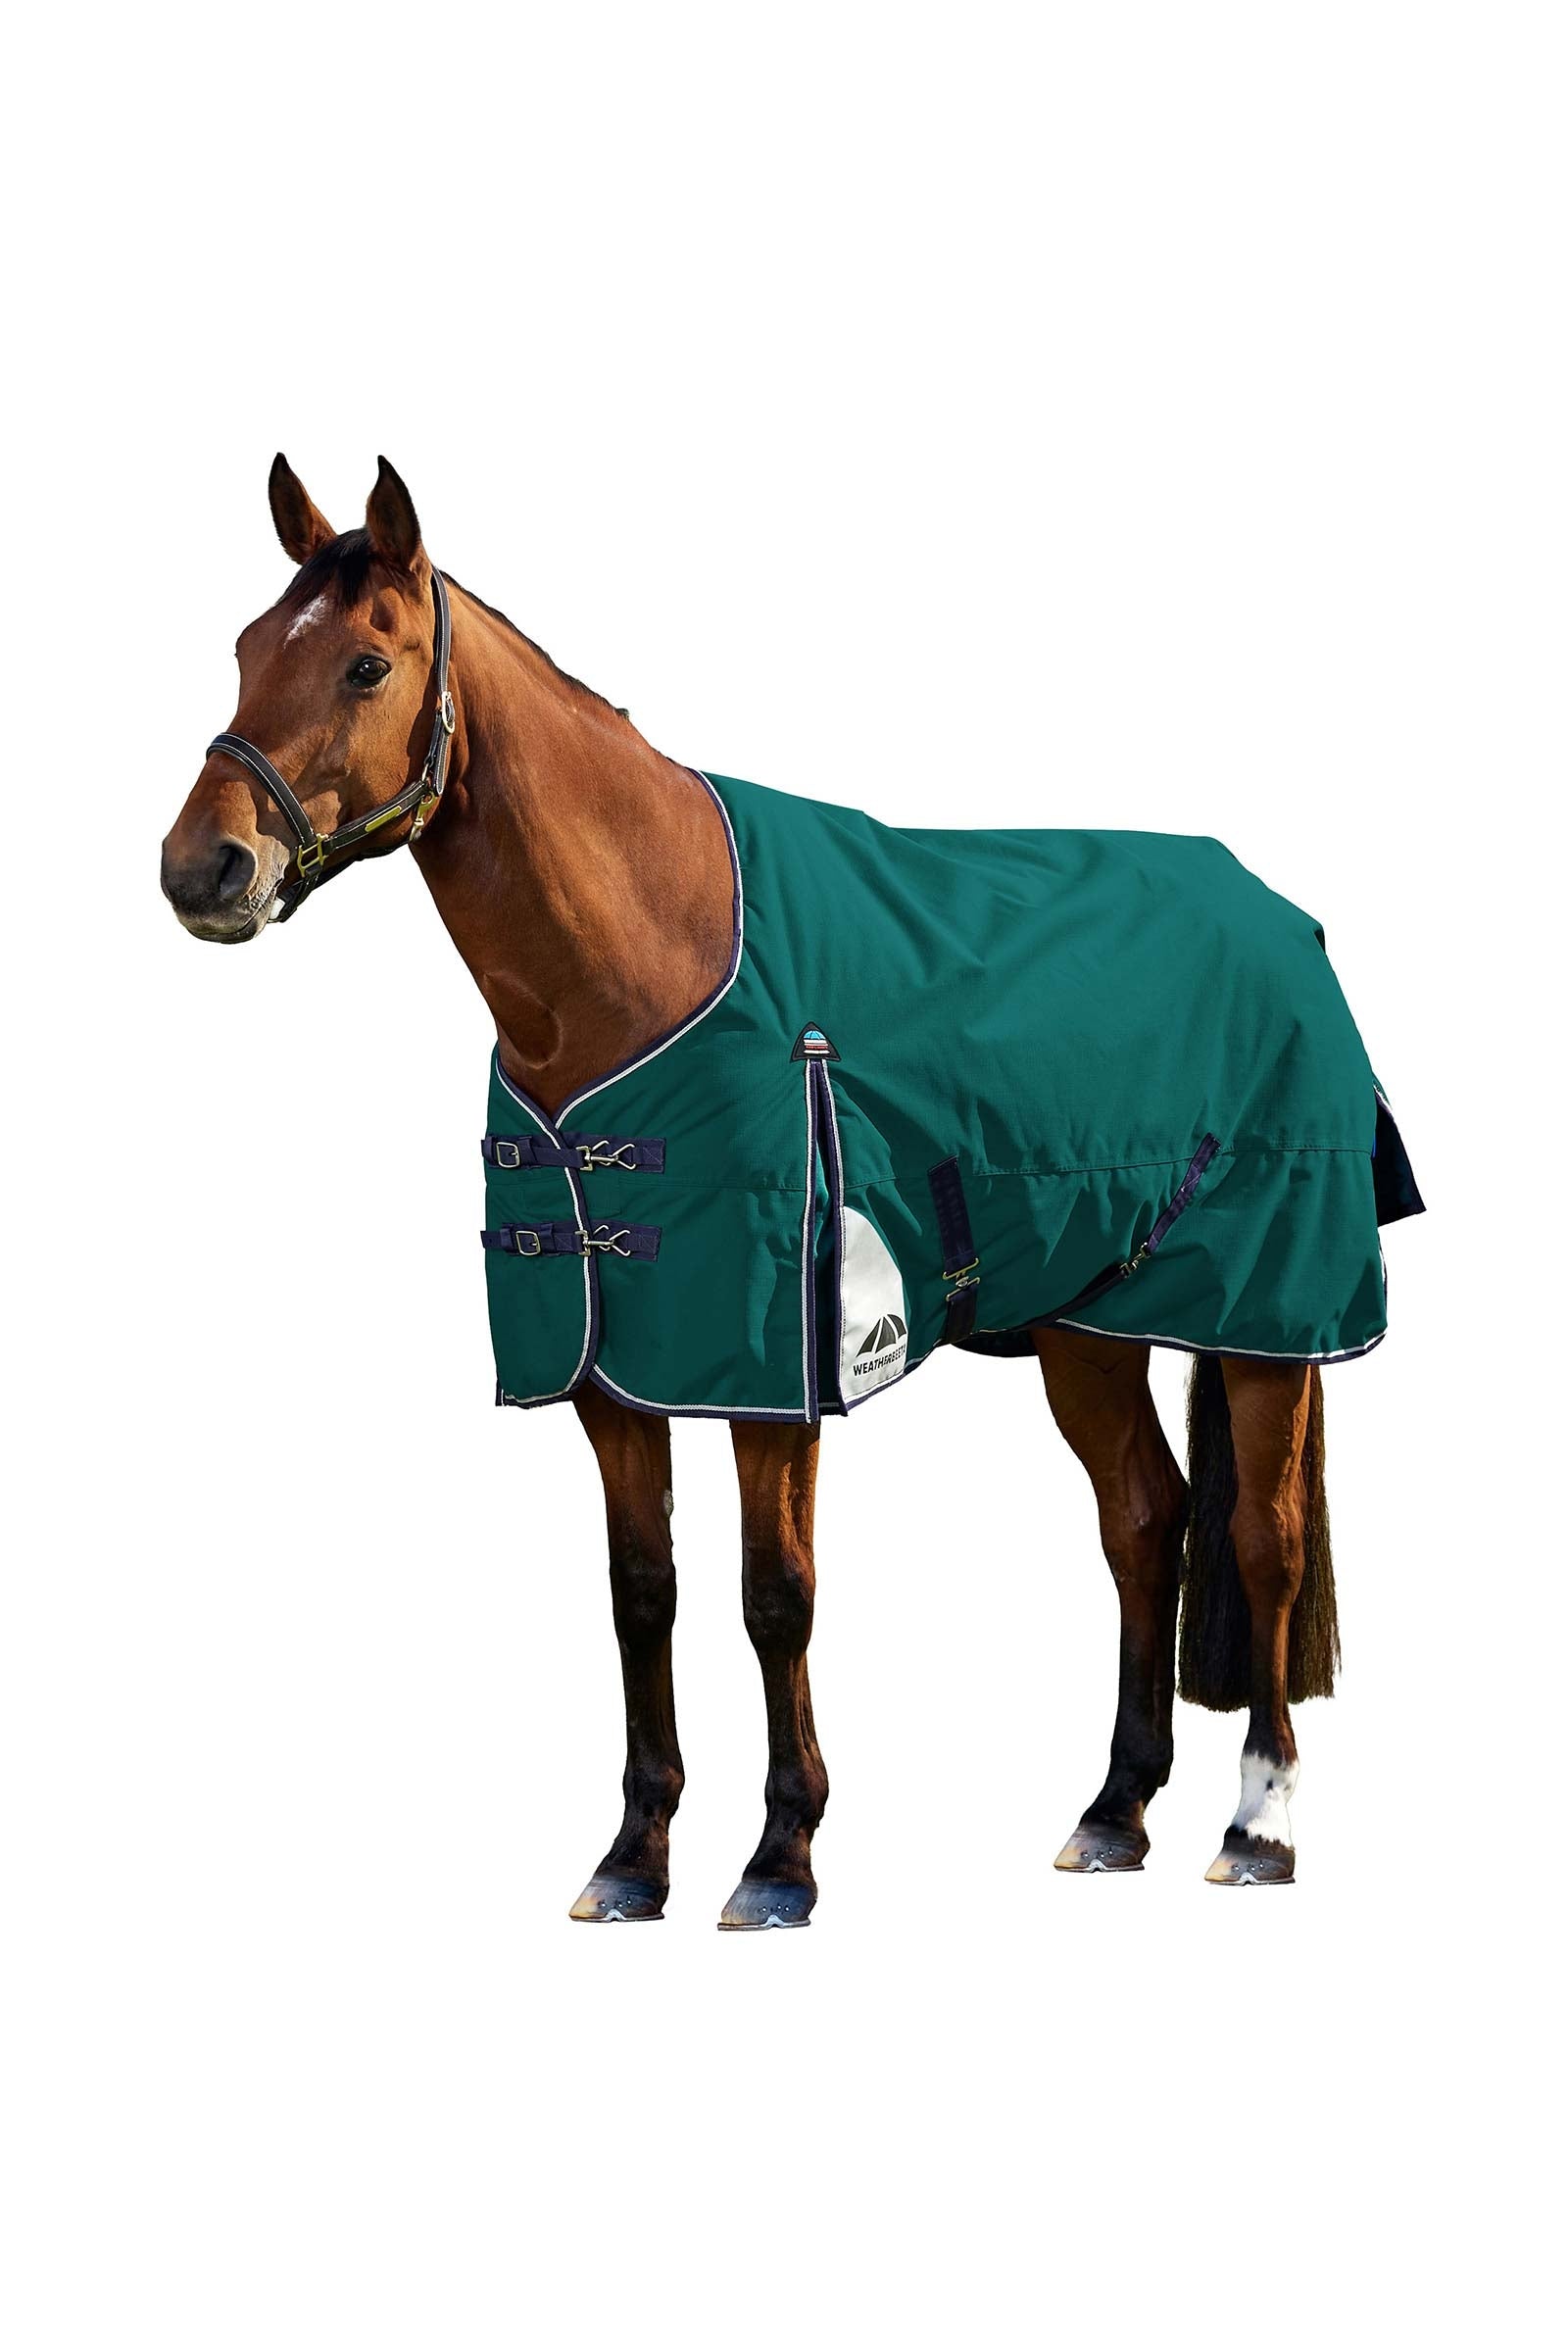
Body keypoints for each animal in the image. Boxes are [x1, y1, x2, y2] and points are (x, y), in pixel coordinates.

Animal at [161, 454, 1392, 1924]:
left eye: (363, 664)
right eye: (244, 650)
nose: (202, 870)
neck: (653, 955)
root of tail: (1281, 917)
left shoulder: (774, 1371)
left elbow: (775, 1595)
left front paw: (780, 1858)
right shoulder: (614, 1373)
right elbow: (643, 1593)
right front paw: (633, 1859)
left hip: (1267, 1316)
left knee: (1261, 1542)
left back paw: (1258, 1827)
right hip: (1088, 1325)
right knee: (1146, 1522)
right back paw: (1112, 1812)